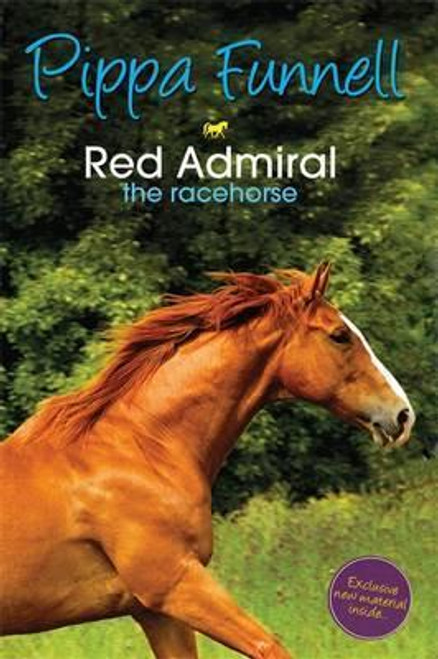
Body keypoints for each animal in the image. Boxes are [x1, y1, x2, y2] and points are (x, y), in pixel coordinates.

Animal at [0, 263, 415, 659]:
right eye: (339, 335)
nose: (403, 415)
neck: (143, 448)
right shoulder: (174, 583)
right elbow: (270, 647)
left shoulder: (156, 612)